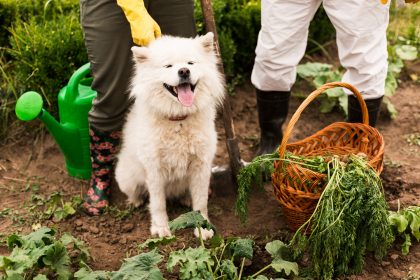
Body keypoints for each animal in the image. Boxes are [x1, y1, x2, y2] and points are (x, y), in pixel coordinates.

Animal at [115, 31, 225, 240]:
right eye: (168, 66)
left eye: (190, 63)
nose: (184, 71)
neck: (178, 119)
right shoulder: (154, 169)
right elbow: (158, 203)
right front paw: (161, 228)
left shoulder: (200, 166)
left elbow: (201, 202)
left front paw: (203, 228)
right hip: (128, 177)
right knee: (136, 192)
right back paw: (134, 201)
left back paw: (185, 199)